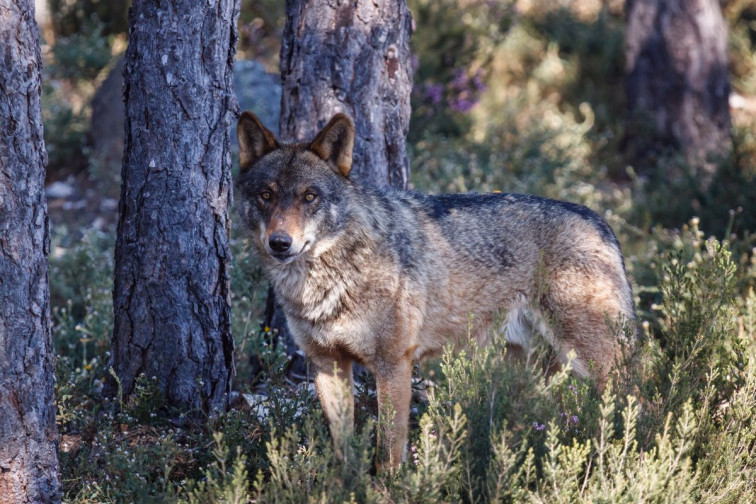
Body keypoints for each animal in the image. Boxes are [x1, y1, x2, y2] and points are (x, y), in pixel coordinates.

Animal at [236, 111, 636, 468]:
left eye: (309, 197)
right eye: (266, 194)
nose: (280, 243)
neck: (325, 283)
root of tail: (600, 221)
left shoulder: (393, 365)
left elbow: (388, 453)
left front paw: (386, 491)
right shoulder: (327, 363)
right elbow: (344, 447)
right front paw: (346, 486)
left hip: (592, 362)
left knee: (637, 401)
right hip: (522, 366)